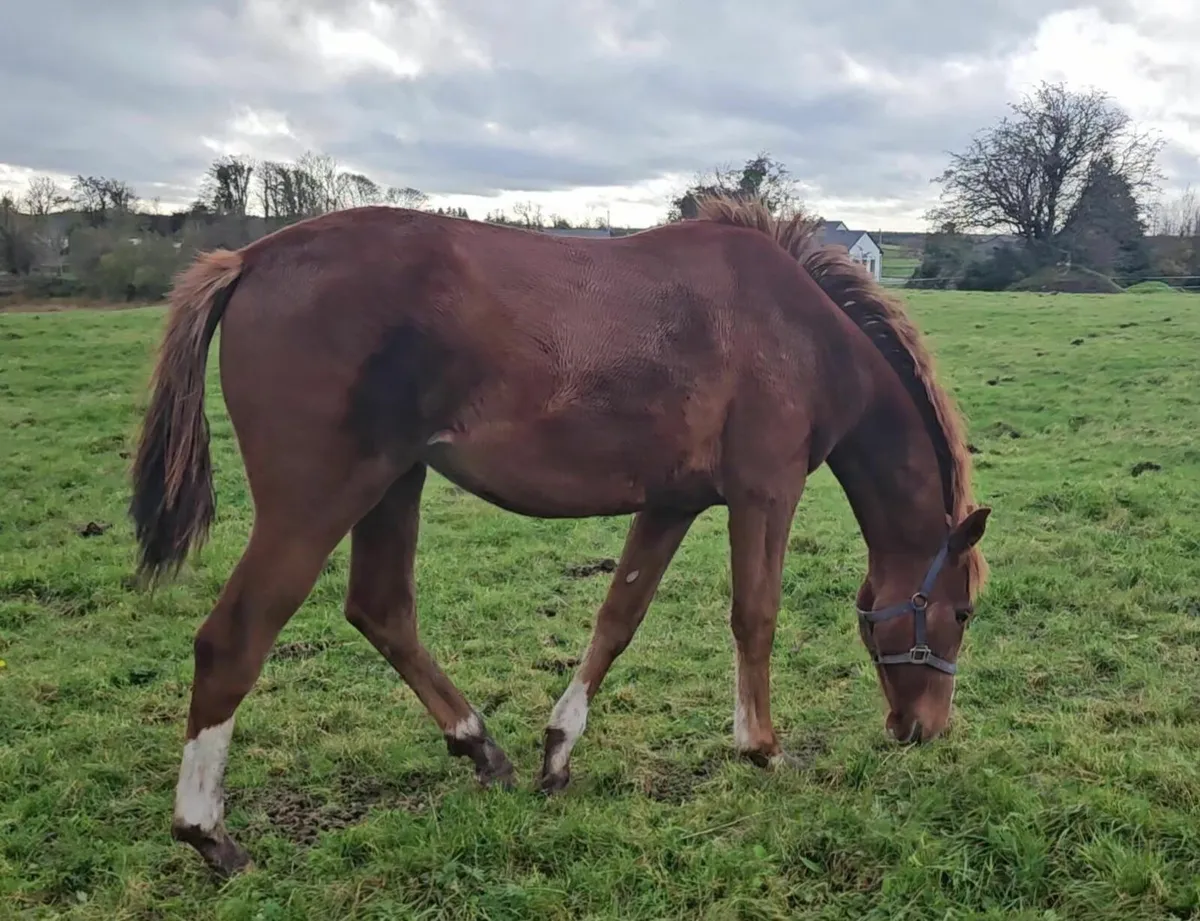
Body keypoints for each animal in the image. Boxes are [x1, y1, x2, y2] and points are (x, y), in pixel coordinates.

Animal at [129, 193, 991, 878]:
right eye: (963, 612)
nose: (926, 729)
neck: (804, 334)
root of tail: (249, 258)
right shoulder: (764, 493)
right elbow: (755, 615)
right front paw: (762, 746)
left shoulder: (671, 504)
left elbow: (617, 619)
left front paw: (558, 749)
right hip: (316, 501)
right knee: (234, 639)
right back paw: (207, 831)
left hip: (392, 484)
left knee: (382, 609)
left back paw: (482, 749)